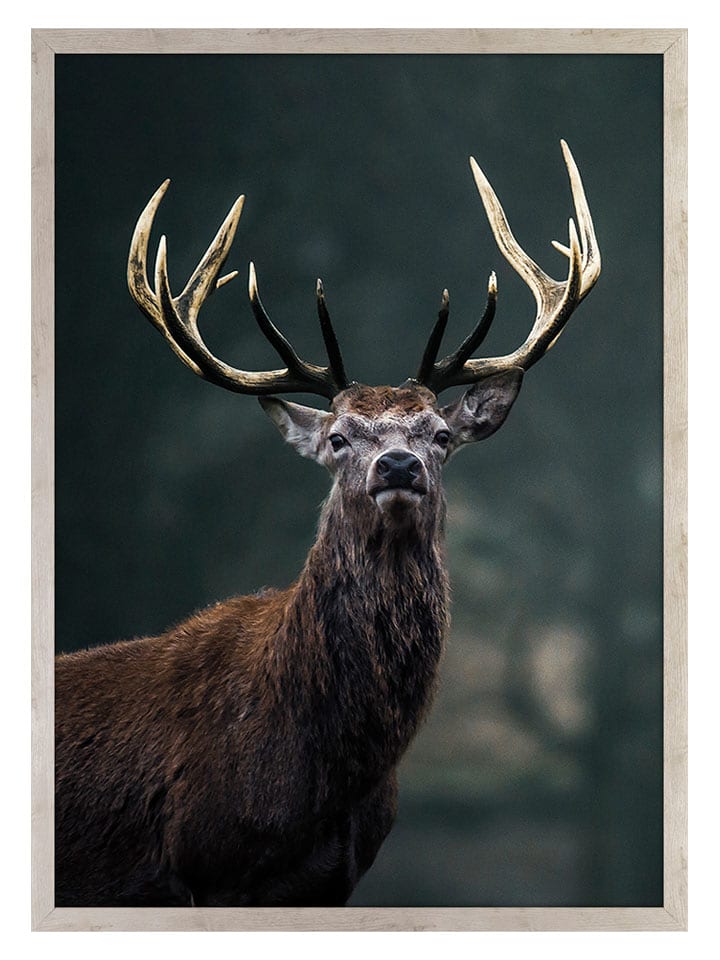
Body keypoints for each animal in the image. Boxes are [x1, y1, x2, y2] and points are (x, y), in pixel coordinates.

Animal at [55, 141, 600, 908]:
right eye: (339, 437)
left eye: (439, 434)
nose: (398, 464)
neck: (319, 779)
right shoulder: (204, 865)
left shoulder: (336, 877)